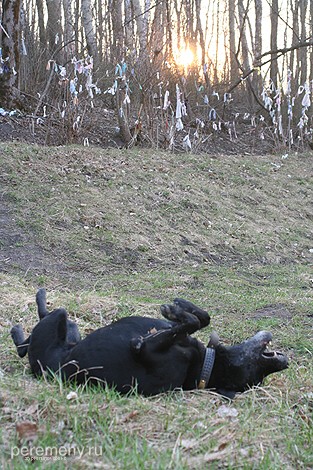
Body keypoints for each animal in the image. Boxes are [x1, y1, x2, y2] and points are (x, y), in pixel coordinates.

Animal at [10, 290, 288, 396]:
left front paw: (175, 311)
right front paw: (182, 306)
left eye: (255, 376)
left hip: (58, 320)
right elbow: (202, 318)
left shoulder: (145, 348)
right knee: (25, 343)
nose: (284, 362)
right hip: (73, 329)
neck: (203, 366)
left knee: (40, 324)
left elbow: (192, 323)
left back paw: (26, 315)